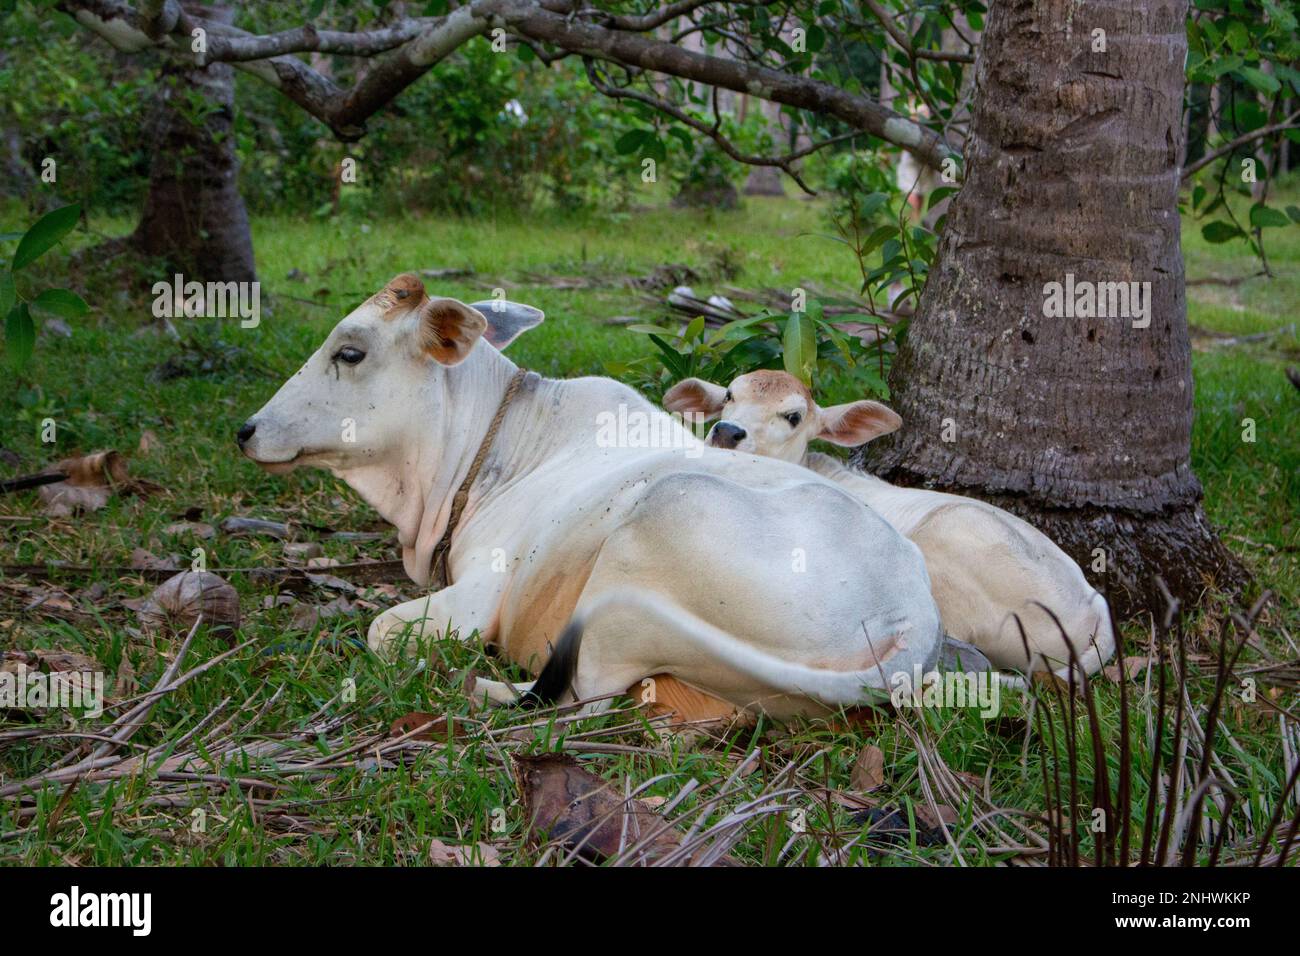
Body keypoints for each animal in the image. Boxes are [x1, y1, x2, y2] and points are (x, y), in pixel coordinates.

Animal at [236, 274, 946, 717]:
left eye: (350, 353)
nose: (247, 430)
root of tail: (910, 617)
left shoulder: (480, 593)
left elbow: (382, 631)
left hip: (658, 525)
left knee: (587, 689)